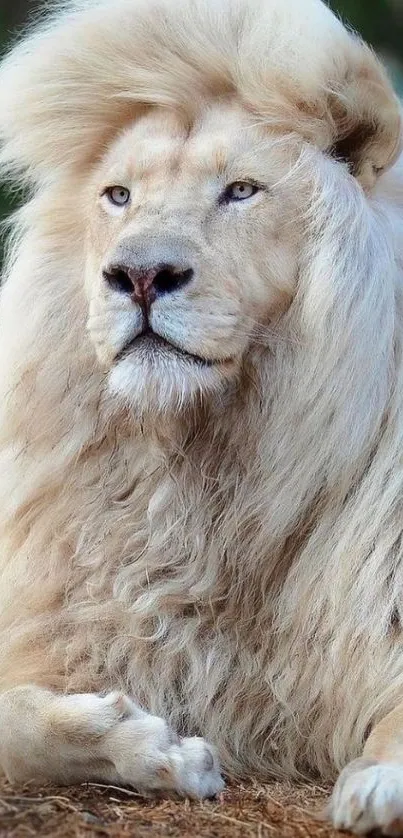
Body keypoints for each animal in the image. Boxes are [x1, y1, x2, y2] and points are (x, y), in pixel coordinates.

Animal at [0, 0, 403, 832]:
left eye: (241, 191)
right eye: (118, 196)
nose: (139, 275)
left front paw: (378, 784)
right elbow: (15, 723)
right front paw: (153, 751)